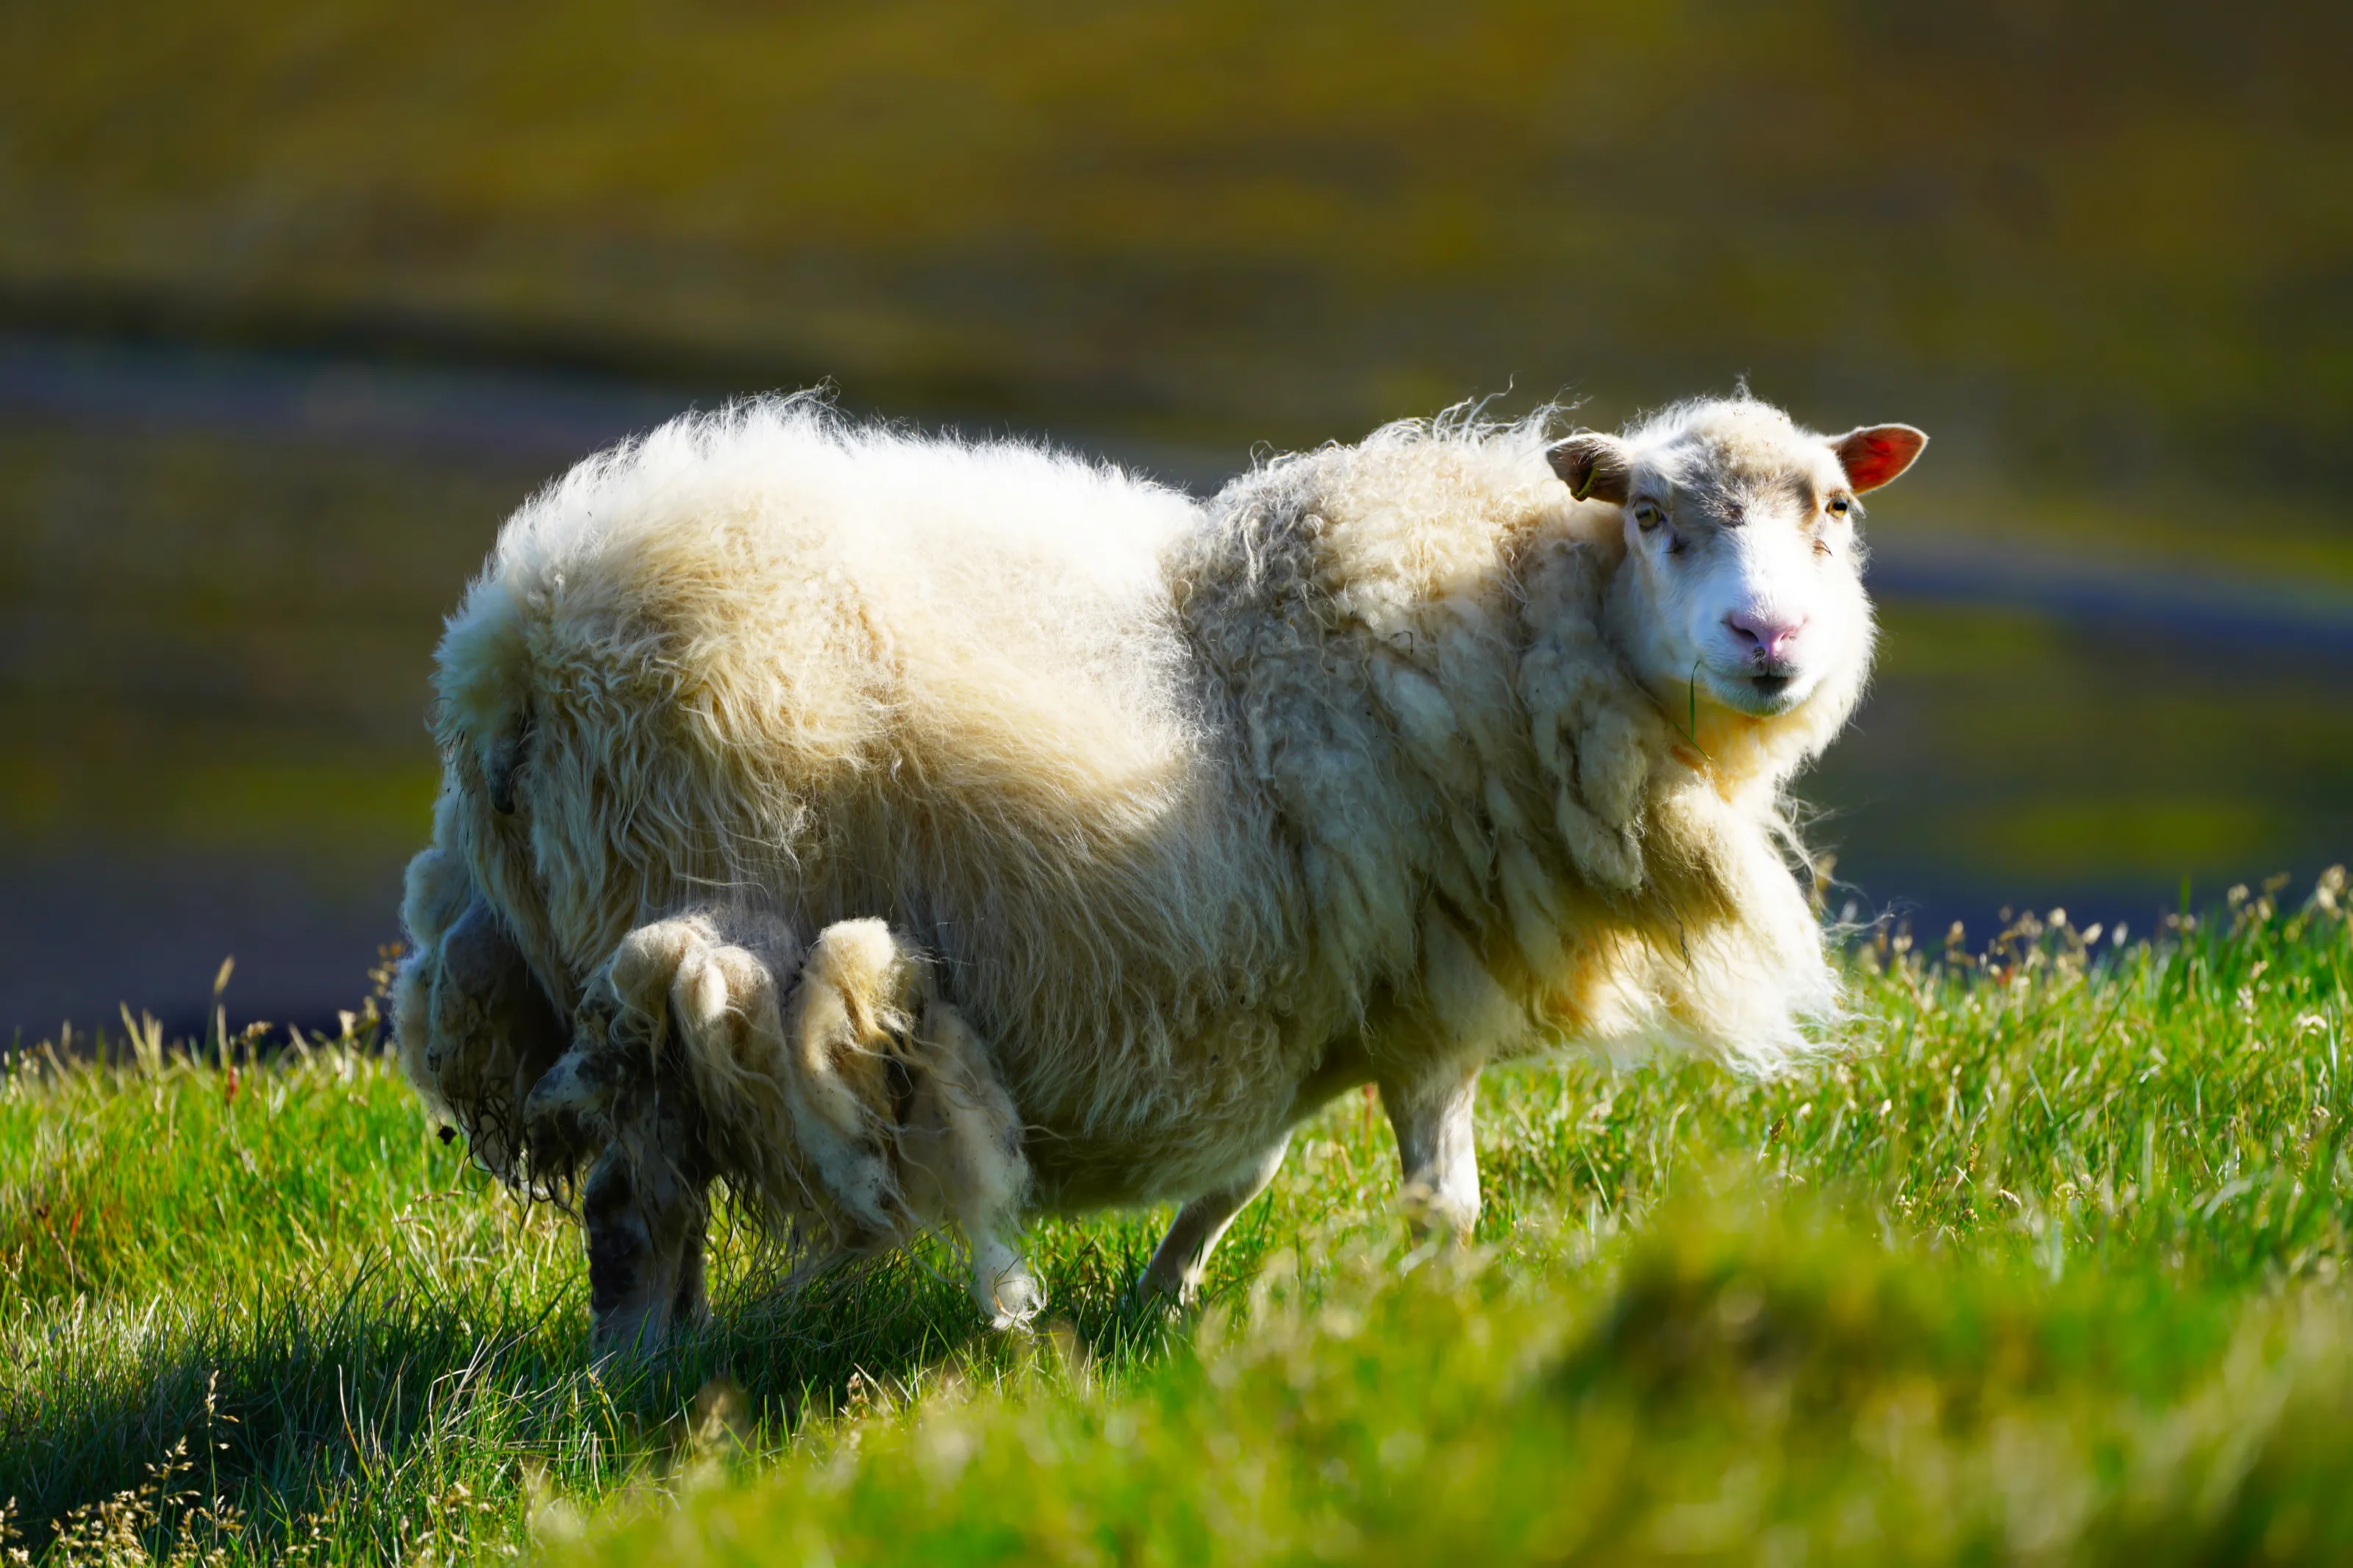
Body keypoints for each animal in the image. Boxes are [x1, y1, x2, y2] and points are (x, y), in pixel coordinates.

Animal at [393, 390, 1925, 1349]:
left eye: (1837, 510)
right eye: (1656, 513)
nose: (1772, 640)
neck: (1527, 615)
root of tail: (505, 654)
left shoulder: (1318, 988)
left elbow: (1240, 1174)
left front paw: (1159, 1300)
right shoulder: (1429, 996)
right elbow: (1441, 1197)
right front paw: (1443, 1320)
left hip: (550, 948)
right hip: (693, 919)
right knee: (637, 1205)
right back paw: (648, 1378)